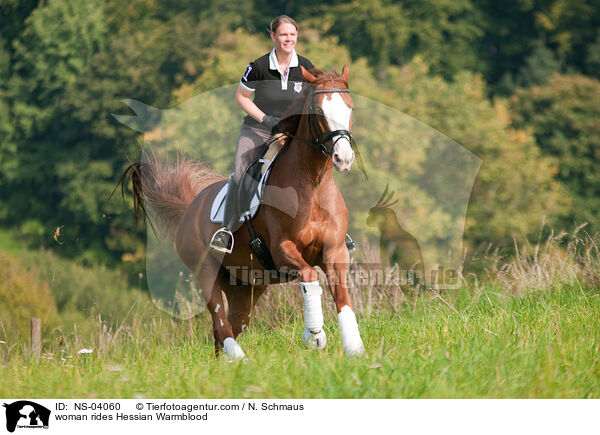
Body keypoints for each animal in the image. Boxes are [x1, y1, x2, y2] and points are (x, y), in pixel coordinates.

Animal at [124, 65, 364, 362]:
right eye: (318, 111)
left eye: (350, 108)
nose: (344, 158)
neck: (313, 187)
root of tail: (191, 207)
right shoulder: (283, 250)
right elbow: (309, 277)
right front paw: (315, 334)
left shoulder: (335, 252)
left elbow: (343, 299)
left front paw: (354, 349)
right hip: (206, 273)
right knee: (220, 323)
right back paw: (241, 360)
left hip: (246, 287)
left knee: (230, 326)